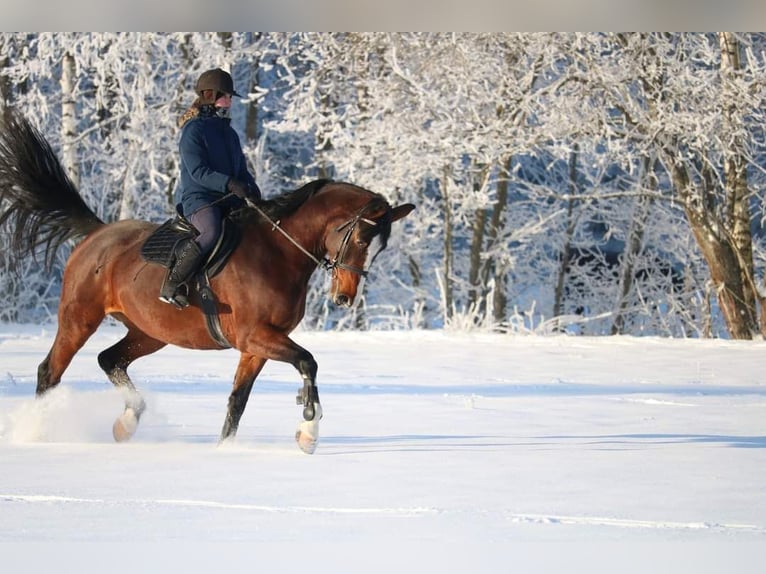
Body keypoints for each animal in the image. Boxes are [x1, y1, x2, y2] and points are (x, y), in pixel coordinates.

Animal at [0, 110, 414, 454]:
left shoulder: (256, 345)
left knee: (109, 359)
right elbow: (307, 362)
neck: (278, 252)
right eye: (360, 240)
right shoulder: (253, 335)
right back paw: (37, 432)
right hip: (79, 318)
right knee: (49, 371)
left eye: (378, 248)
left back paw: (126, 422)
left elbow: (238, 400)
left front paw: (225, 451)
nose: (344, 297)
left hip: (149, 332)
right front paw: (308, 432)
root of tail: (97, 234)